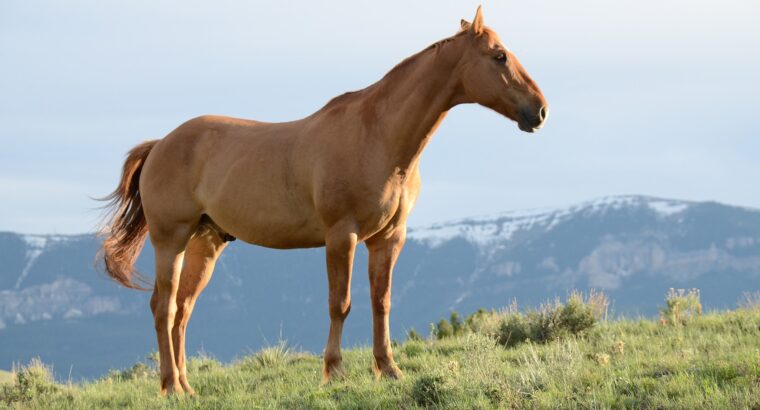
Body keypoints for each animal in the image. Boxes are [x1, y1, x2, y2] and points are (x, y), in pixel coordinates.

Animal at [101, 7, 548, 394]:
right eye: (499, 56)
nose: (540, 110)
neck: (378, 136)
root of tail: (161, 144)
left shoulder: (389, 238)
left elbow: (381, 302)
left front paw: (388, 369)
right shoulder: (341, 236)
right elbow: (341, 303)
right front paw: (334, 372)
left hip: (205, 243)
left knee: (182, 311)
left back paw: (187, 386)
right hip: (170, 240)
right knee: (163, 307)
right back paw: (170, 387)